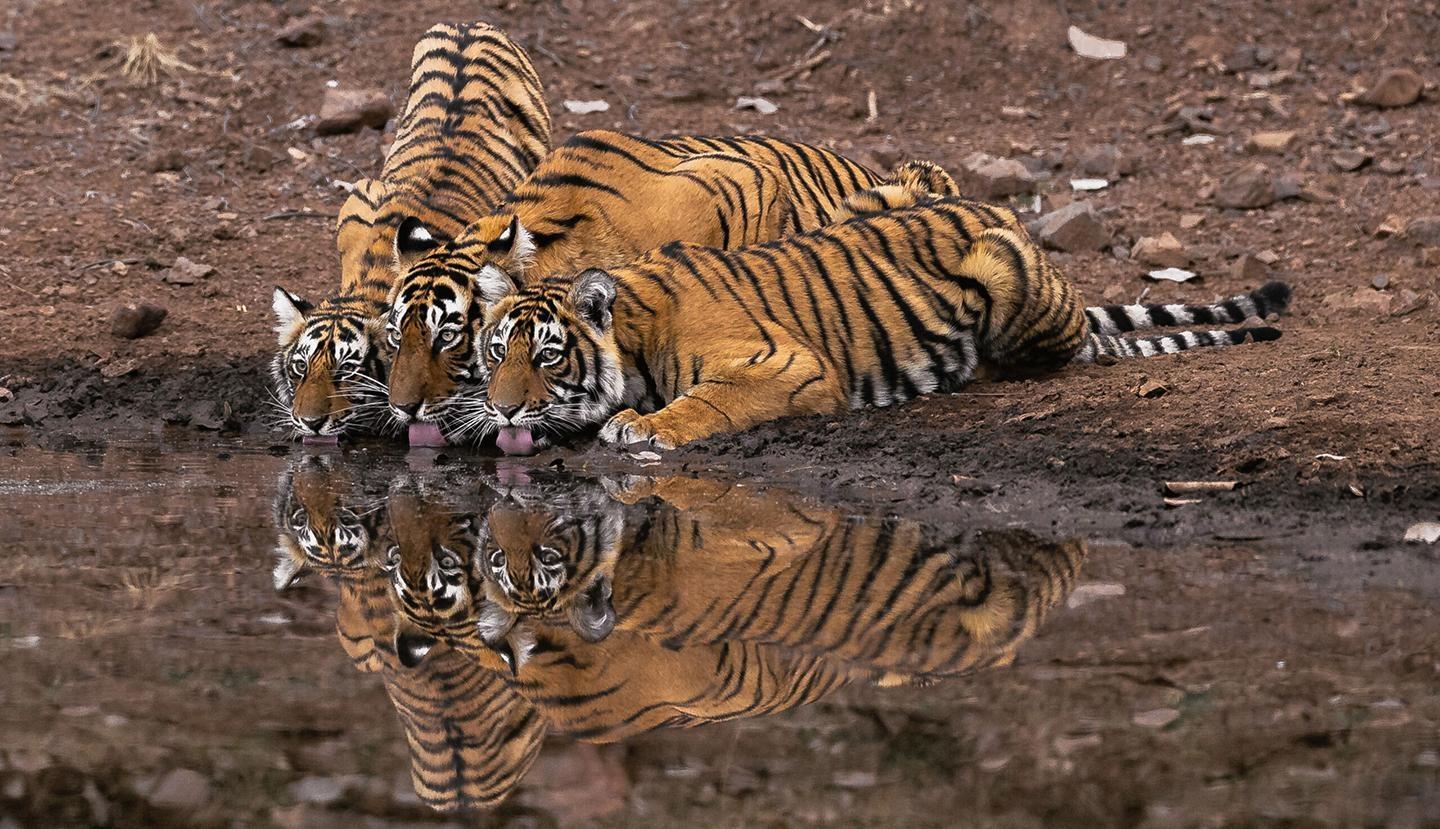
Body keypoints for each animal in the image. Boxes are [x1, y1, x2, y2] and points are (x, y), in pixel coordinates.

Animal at [270, 21, 551, 444]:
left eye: (347, 370)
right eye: (300, 367)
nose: (309, 421)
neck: (369, 283)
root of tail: (468, 24)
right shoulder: (359, 198)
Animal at [470, 195, 1293, 452]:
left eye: (548, 357)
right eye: (497, 353)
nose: (501, 410)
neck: (636, 338)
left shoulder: (786, 363)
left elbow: (707, 401)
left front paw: (643, 426)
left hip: (1005, 272)